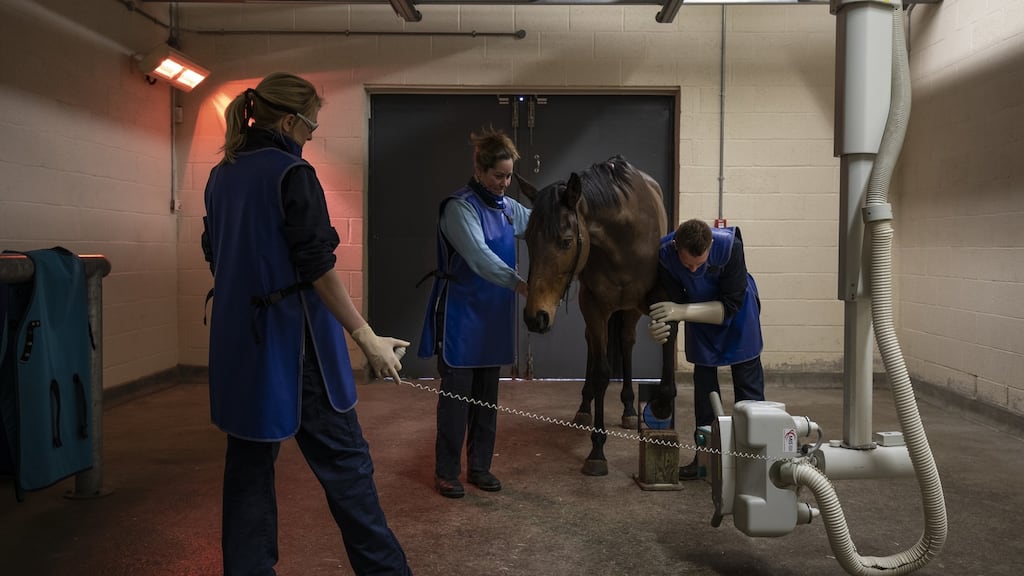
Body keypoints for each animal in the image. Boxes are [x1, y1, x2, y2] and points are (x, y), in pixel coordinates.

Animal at [516, 156, 677, 476]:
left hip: (629, 311)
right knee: (592, 342)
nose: (534, 317)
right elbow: (601, 371)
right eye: (528, 239)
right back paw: (584, 406)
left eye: (566, 241)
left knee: (626, 342)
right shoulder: (593, 306)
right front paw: (597, 450)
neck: (624, 238)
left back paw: (629, 408)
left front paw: (660, 407)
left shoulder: (656, 297)